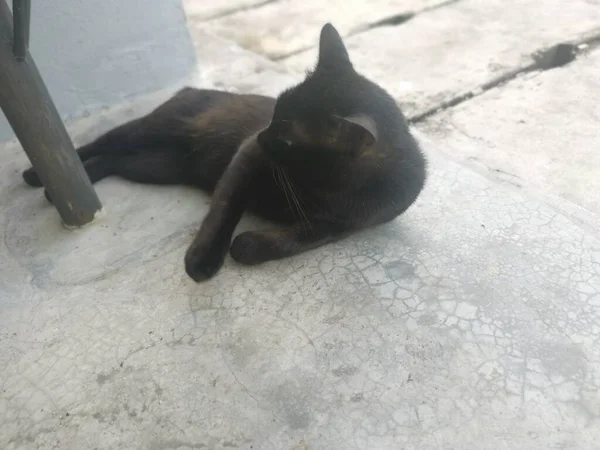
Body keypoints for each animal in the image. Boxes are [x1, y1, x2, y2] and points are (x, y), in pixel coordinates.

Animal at [23, 24, 426, 282]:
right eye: (275, 110)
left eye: (288, 138)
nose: (262, 135)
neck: (324, 186)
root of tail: (189, 89)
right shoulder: (246, 160)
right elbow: (224, 209)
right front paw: (203, 259)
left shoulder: (346, 224)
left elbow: (303, 238)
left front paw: (249, 246)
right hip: (154, 132)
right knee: (103, 142)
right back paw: (38, 177)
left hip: (157, 166)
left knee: (113, 160)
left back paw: (62, 189)